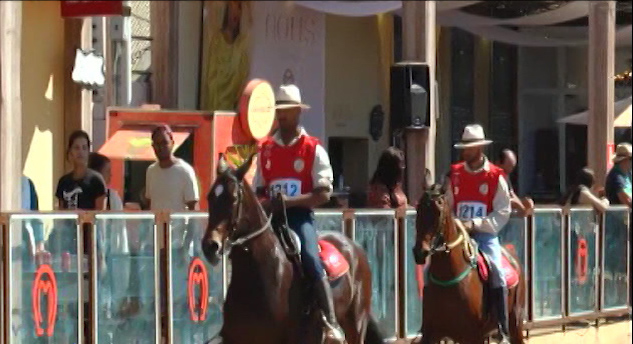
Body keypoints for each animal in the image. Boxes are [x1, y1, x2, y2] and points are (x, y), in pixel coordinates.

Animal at [410, 184, 524, 342]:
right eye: (418, 209)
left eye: (438, 212)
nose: (420, 252)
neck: (448, 278)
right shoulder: (431, 334)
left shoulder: (473, 336)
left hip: (515, 322)